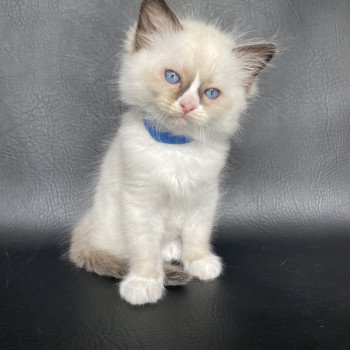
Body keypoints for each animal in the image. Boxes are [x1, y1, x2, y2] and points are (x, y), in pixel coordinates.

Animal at [68, 0, 276, 306]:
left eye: (211, 94)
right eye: (172, 77)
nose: (188, 105)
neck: (176, 147)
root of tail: (86, 222)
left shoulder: (204, 197)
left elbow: (198, 236)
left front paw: (200, 263)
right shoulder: (140, 201)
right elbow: (144, 249)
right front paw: (144, 284)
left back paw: (171, 251)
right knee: (123, 250)